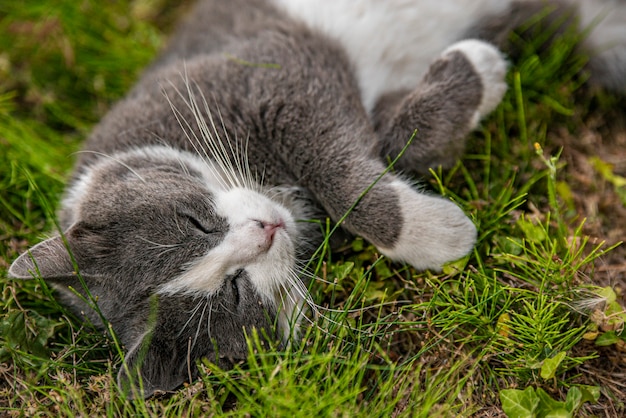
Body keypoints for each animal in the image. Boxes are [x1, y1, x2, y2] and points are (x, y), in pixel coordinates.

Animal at [6, 0, 624, 398]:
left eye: (194, 221)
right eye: (235, 293)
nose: (265, 232)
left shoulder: (276, 75)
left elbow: (339, 168)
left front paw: (434, 232)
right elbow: (396, 146)